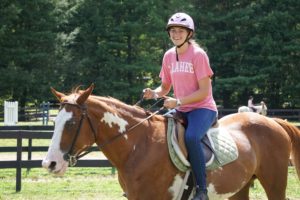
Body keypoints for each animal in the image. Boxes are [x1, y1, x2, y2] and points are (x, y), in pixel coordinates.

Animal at [42, 83, 300, 199]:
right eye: (55, 123)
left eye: (71, 123)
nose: (49, 164)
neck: (139, 147)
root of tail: (274, 122)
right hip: (239, 188)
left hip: (275, 185)